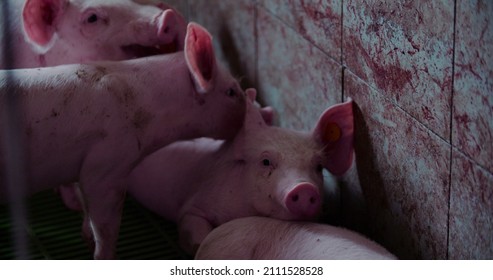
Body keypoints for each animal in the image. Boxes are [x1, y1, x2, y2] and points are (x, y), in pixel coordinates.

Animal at [0, 23, 246, 260]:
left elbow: (85, 205)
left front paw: (86, 238)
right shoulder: (107, 164)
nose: (245, 117)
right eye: (231, 92)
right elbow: (105, 224)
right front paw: (104, 256)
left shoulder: (84, 164)